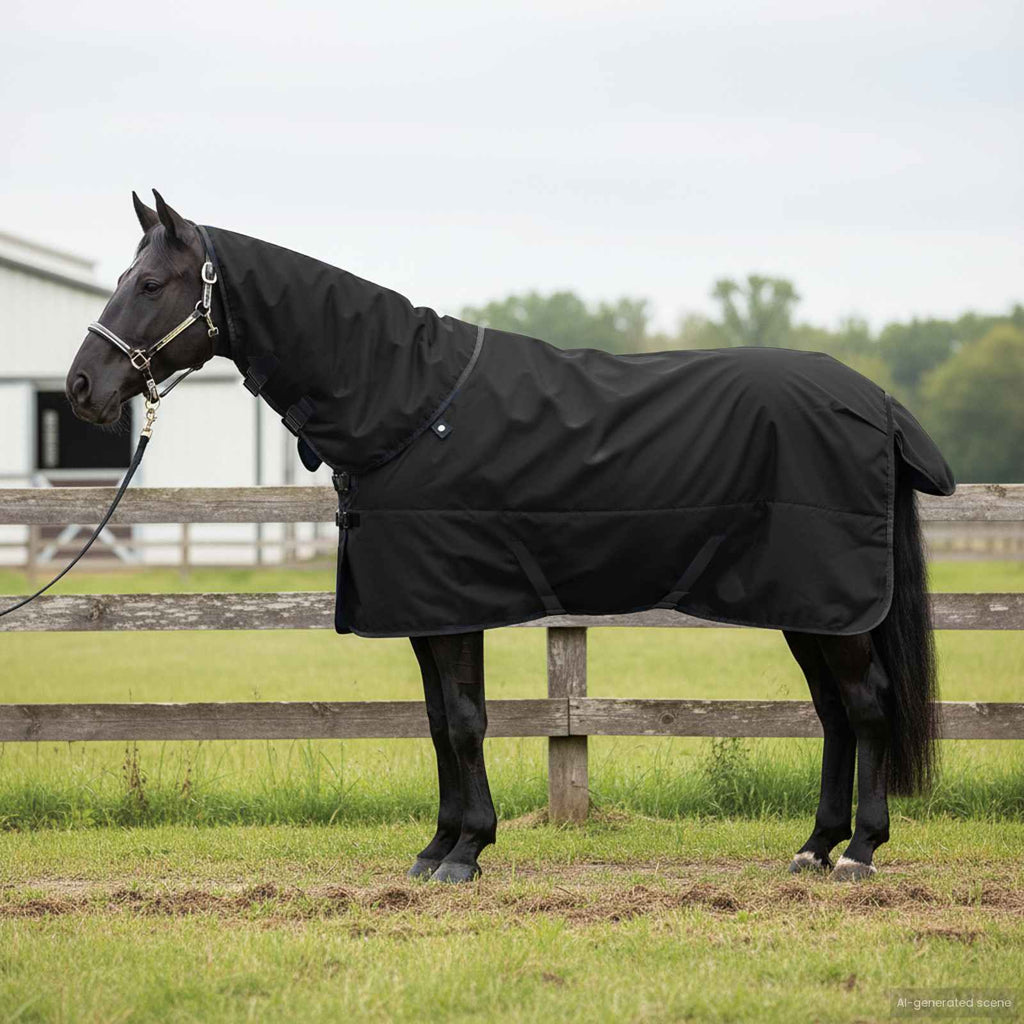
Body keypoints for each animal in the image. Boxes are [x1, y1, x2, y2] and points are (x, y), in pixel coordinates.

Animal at [65, 191, 953, 883]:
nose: (81, 387)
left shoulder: (453, 602)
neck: (408, 402)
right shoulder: (423, 611)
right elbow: (436, 721)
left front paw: (467, 852)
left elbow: (464, 720)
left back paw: (859, 852)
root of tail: (875, 400)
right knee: (835, 713)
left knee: (866, 705)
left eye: (149, 283)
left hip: (829, 601)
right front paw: (437, 847)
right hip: (809, 607)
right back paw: (813, 847)